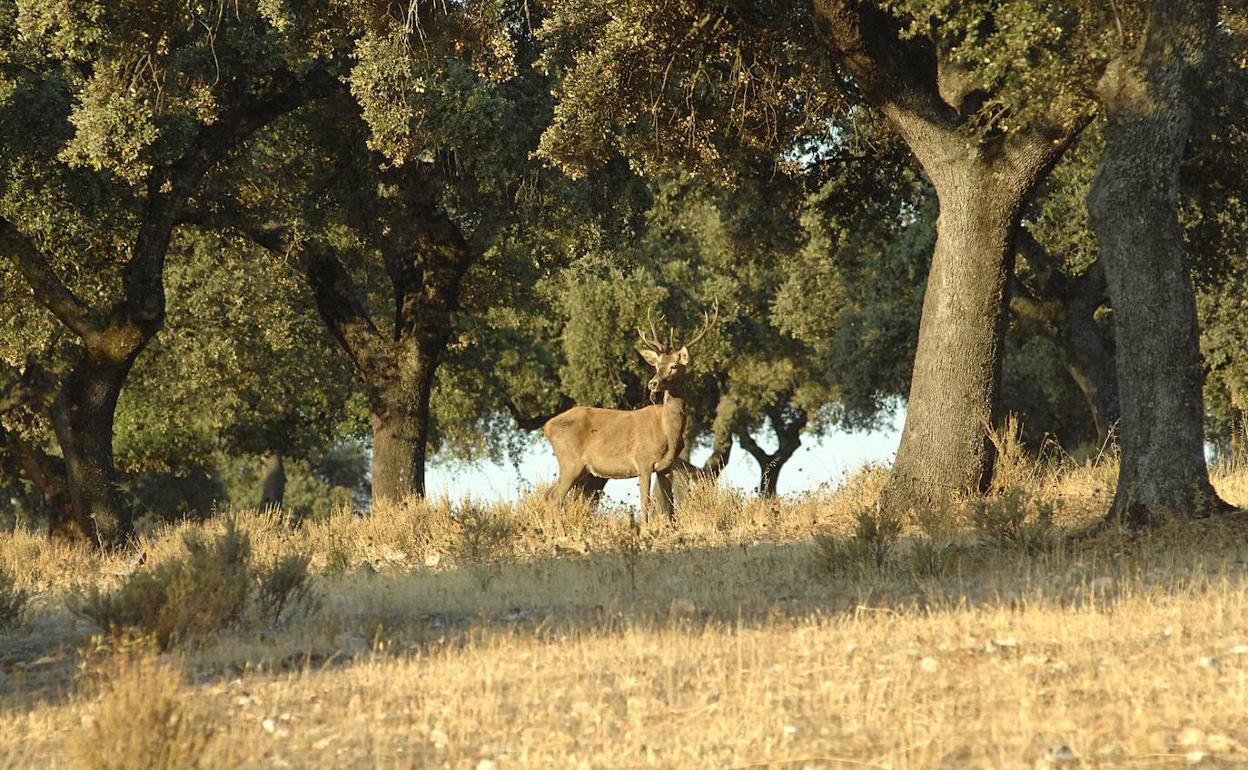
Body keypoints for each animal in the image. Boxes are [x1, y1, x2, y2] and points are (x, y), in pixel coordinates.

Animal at [543, 302, 719, 523]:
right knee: (555, 498)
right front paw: (645, 529)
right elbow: (645, 504)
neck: (668, 432)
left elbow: (670, 508)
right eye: (656, 365)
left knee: (548, 494)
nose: (653, 383)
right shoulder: (643, 460)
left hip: (578, 467)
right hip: (570, 460)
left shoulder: (666, 467)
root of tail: (546, 426)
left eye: (673, 366)